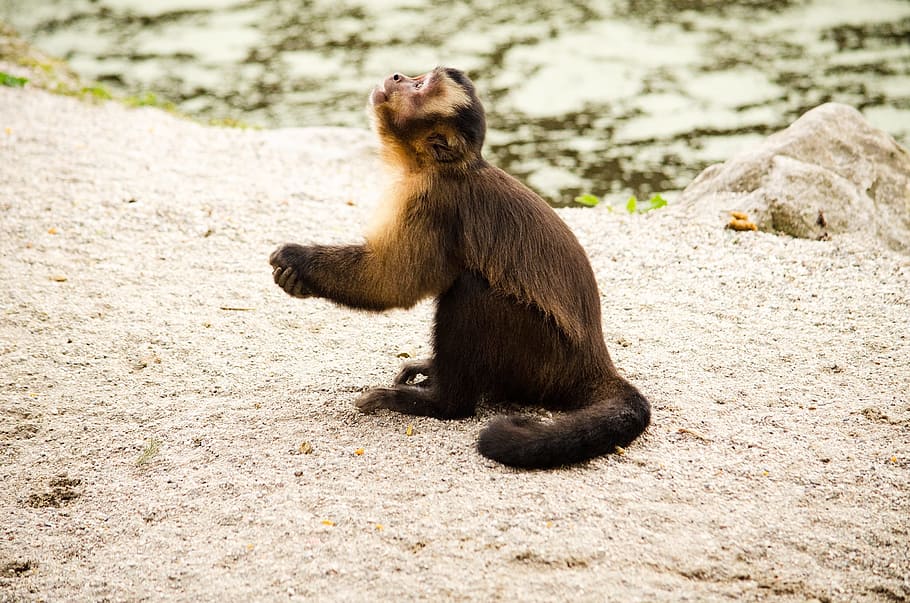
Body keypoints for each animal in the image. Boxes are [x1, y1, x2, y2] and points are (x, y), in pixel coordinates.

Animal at [269, 67, 650, 469]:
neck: (433, 167)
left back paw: (442, 402)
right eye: (416, 77)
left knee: (471, 291)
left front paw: (298, 262)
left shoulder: (430, 202)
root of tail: (595, 361)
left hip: (543, 358)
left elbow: (392, 282)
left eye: (419, 87)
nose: (397, 76)